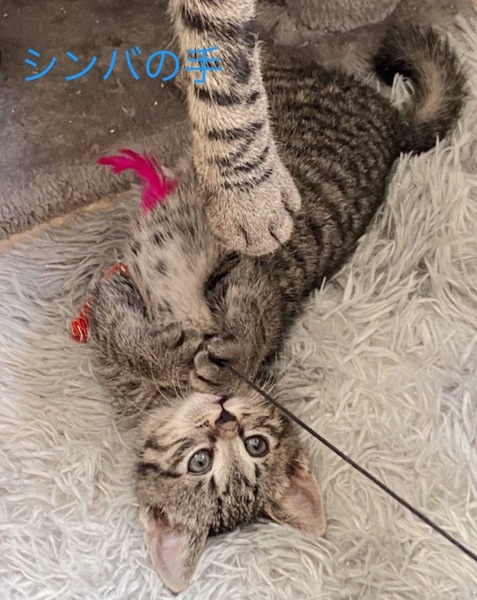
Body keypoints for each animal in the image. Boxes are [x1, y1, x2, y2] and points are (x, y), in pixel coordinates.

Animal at [88, 24, 465, 593]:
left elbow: (255, 317)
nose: (224, 417)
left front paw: (228, 357)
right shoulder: (115, 289)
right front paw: (166, 353)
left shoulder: (258, 275)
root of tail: (392, 122)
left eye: (256, 446)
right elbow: (114, 332)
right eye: (199, 461)